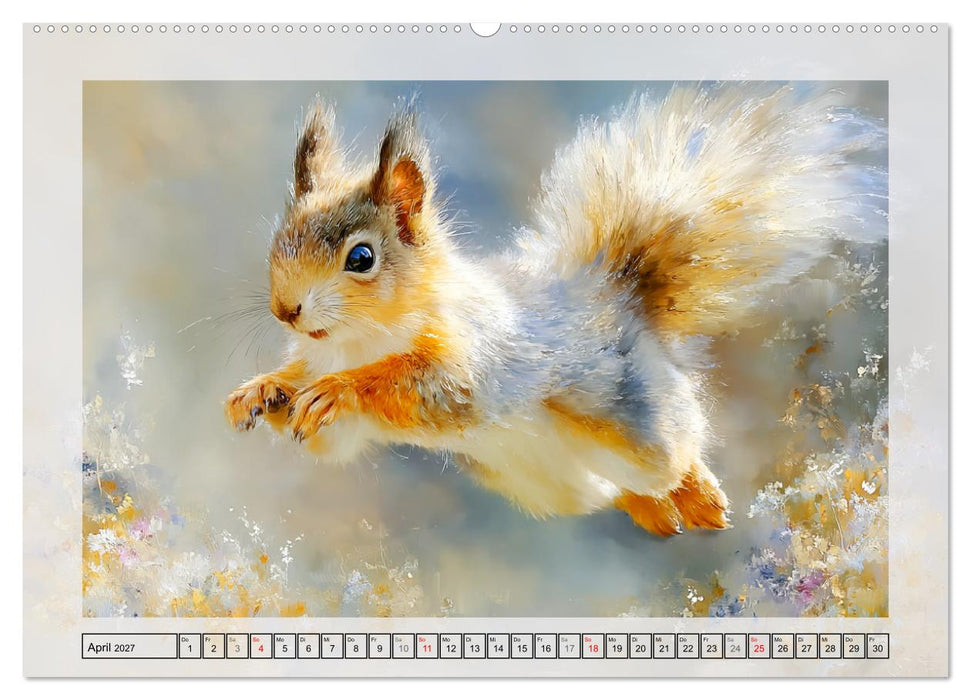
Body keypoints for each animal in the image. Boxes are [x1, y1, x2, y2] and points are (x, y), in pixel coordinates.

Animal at [225, 84, 887, 536]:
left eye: (361, 257)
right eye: (280, 239)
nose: (286, 309)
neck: (358, 338)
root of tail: (619, 302)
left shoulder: (482, 355)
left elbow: (431, 389)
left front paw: (339, 389)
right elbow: (324, 424)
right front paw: (263, 390)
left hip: (639, 423)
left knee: (677, 452)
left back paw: (698, 495)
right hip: (546, 482)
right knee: (611, 491)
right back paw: (655, 512)